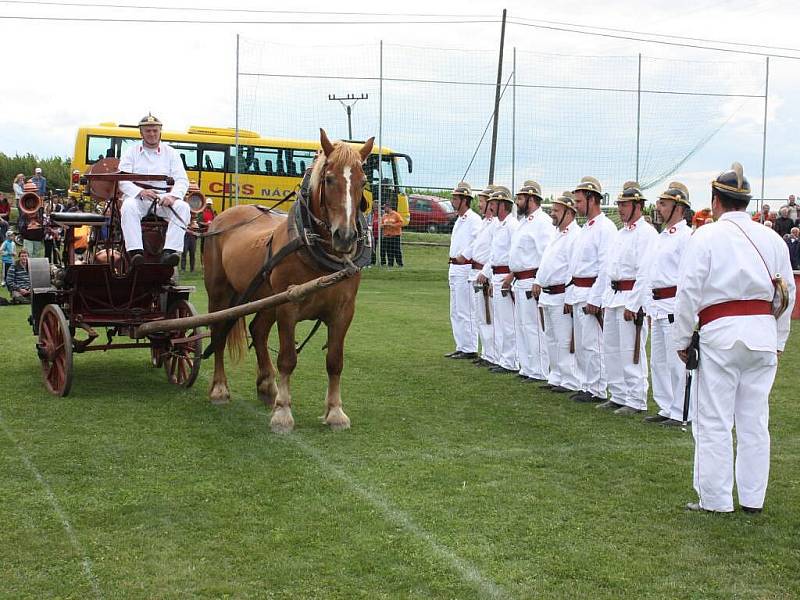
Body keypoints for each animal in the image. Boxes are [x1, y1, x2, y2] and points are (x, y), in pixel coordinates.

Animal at [200, 129, 376, 434]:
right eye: (329, 179)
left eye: (362, 181)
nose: (345, 237)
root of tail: (223, 217)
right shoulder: (288, 307)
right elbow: (287, 359)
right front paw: (283, 413)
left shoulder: (343, 311)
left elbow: (335, 361)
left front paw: (335, 412)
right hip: (221, 293)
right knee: (219, 332)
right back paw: (220, 389)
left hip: (264, 297)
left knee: (258, 330)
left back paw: (267, 386)